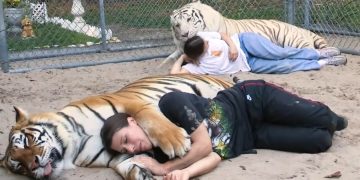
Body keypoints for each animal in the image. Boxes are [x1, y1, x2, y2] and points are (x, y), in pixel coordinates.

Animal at [165, 0, 328, 64]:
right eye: (177, 25)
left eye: (189, 19)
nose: (185, 35)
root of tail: (302, 28)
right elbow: (171, 57)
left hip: (290, 38)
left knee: (310, 50)